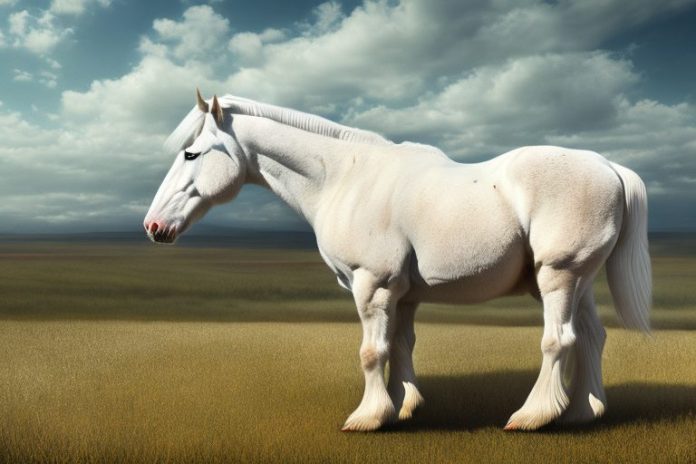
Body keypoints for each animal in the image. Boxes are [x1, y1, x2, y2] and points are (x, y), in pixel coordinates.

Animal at [144, 90, 651, 432]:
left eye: (191, 153)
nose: (153, 226)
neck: (344, 177)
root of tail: (609, 167)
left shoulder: (373, 284)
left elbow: (373, 351)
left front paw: (369, 417)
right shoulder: (403, 294)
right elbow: (402, 345)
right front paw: (404, 405)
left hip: (558, 278)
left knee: (559, 340)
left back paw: (533, 415)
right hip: (578, 282)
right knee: (591, 338)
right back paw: (582, 412)